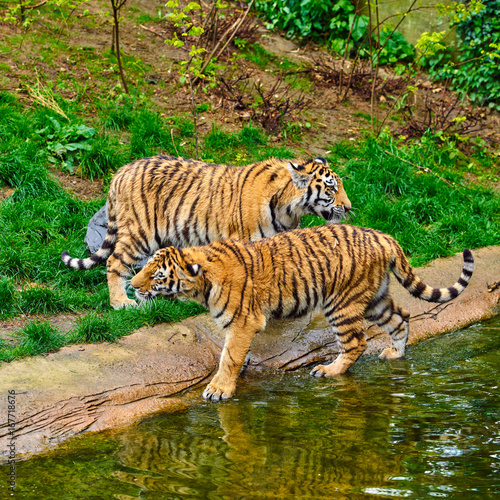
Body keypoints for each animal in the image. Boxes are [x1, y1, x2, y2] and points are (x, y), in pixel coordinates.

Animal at [61, 155, 352, 308]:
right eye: (331, 188)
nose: (349, 207)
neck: (289, 210)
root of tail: (121, 170)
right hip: (140, 234)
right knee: (114, 262)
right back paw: (121, 302)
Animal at [129, 225, 472, 400]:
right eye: (145, 267)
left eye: (156, 275)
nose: (132, 285)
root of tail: (383, 236)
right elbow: (237, 355)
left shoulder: (242, 321)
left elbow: (230, 357)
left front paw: (218, 389)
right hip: (375, 299)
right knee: (401, 318)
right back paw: (394, 354)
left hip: (342, 303)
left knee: (356, 343)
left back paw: (329, 370)